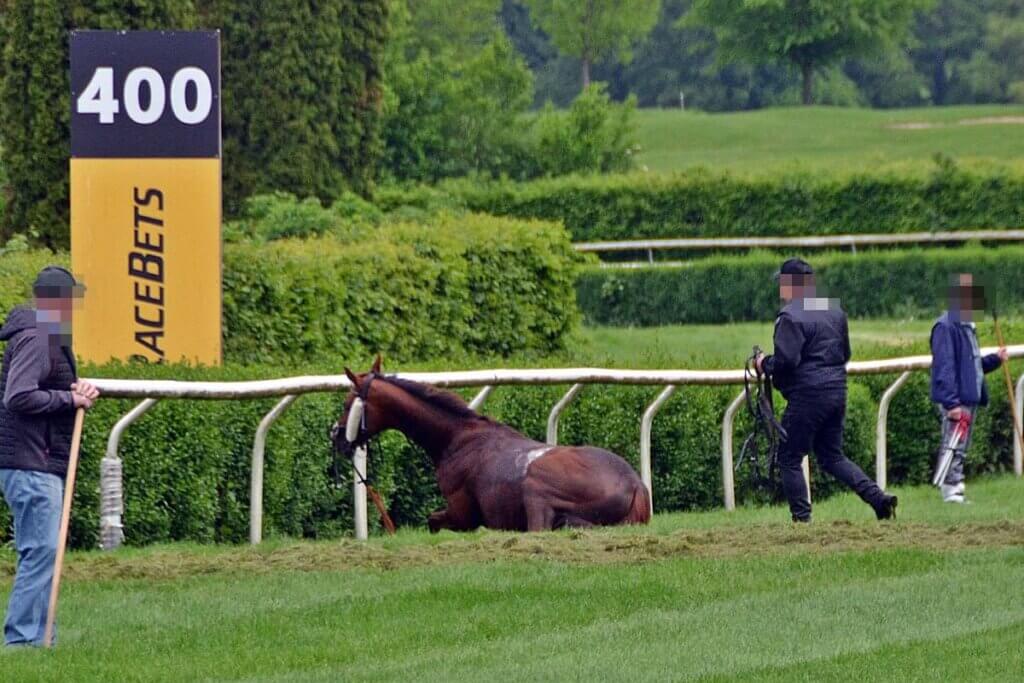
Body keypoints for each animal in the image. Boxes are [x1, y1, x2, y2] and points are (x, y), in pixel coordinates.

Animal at [331, 360, 651, 532]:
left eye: (347, 404)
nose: (336, 435)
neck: (455, 439)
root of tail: (636, 485)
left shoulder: (463, 514)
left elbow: (433, 521)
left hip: (537, 491)